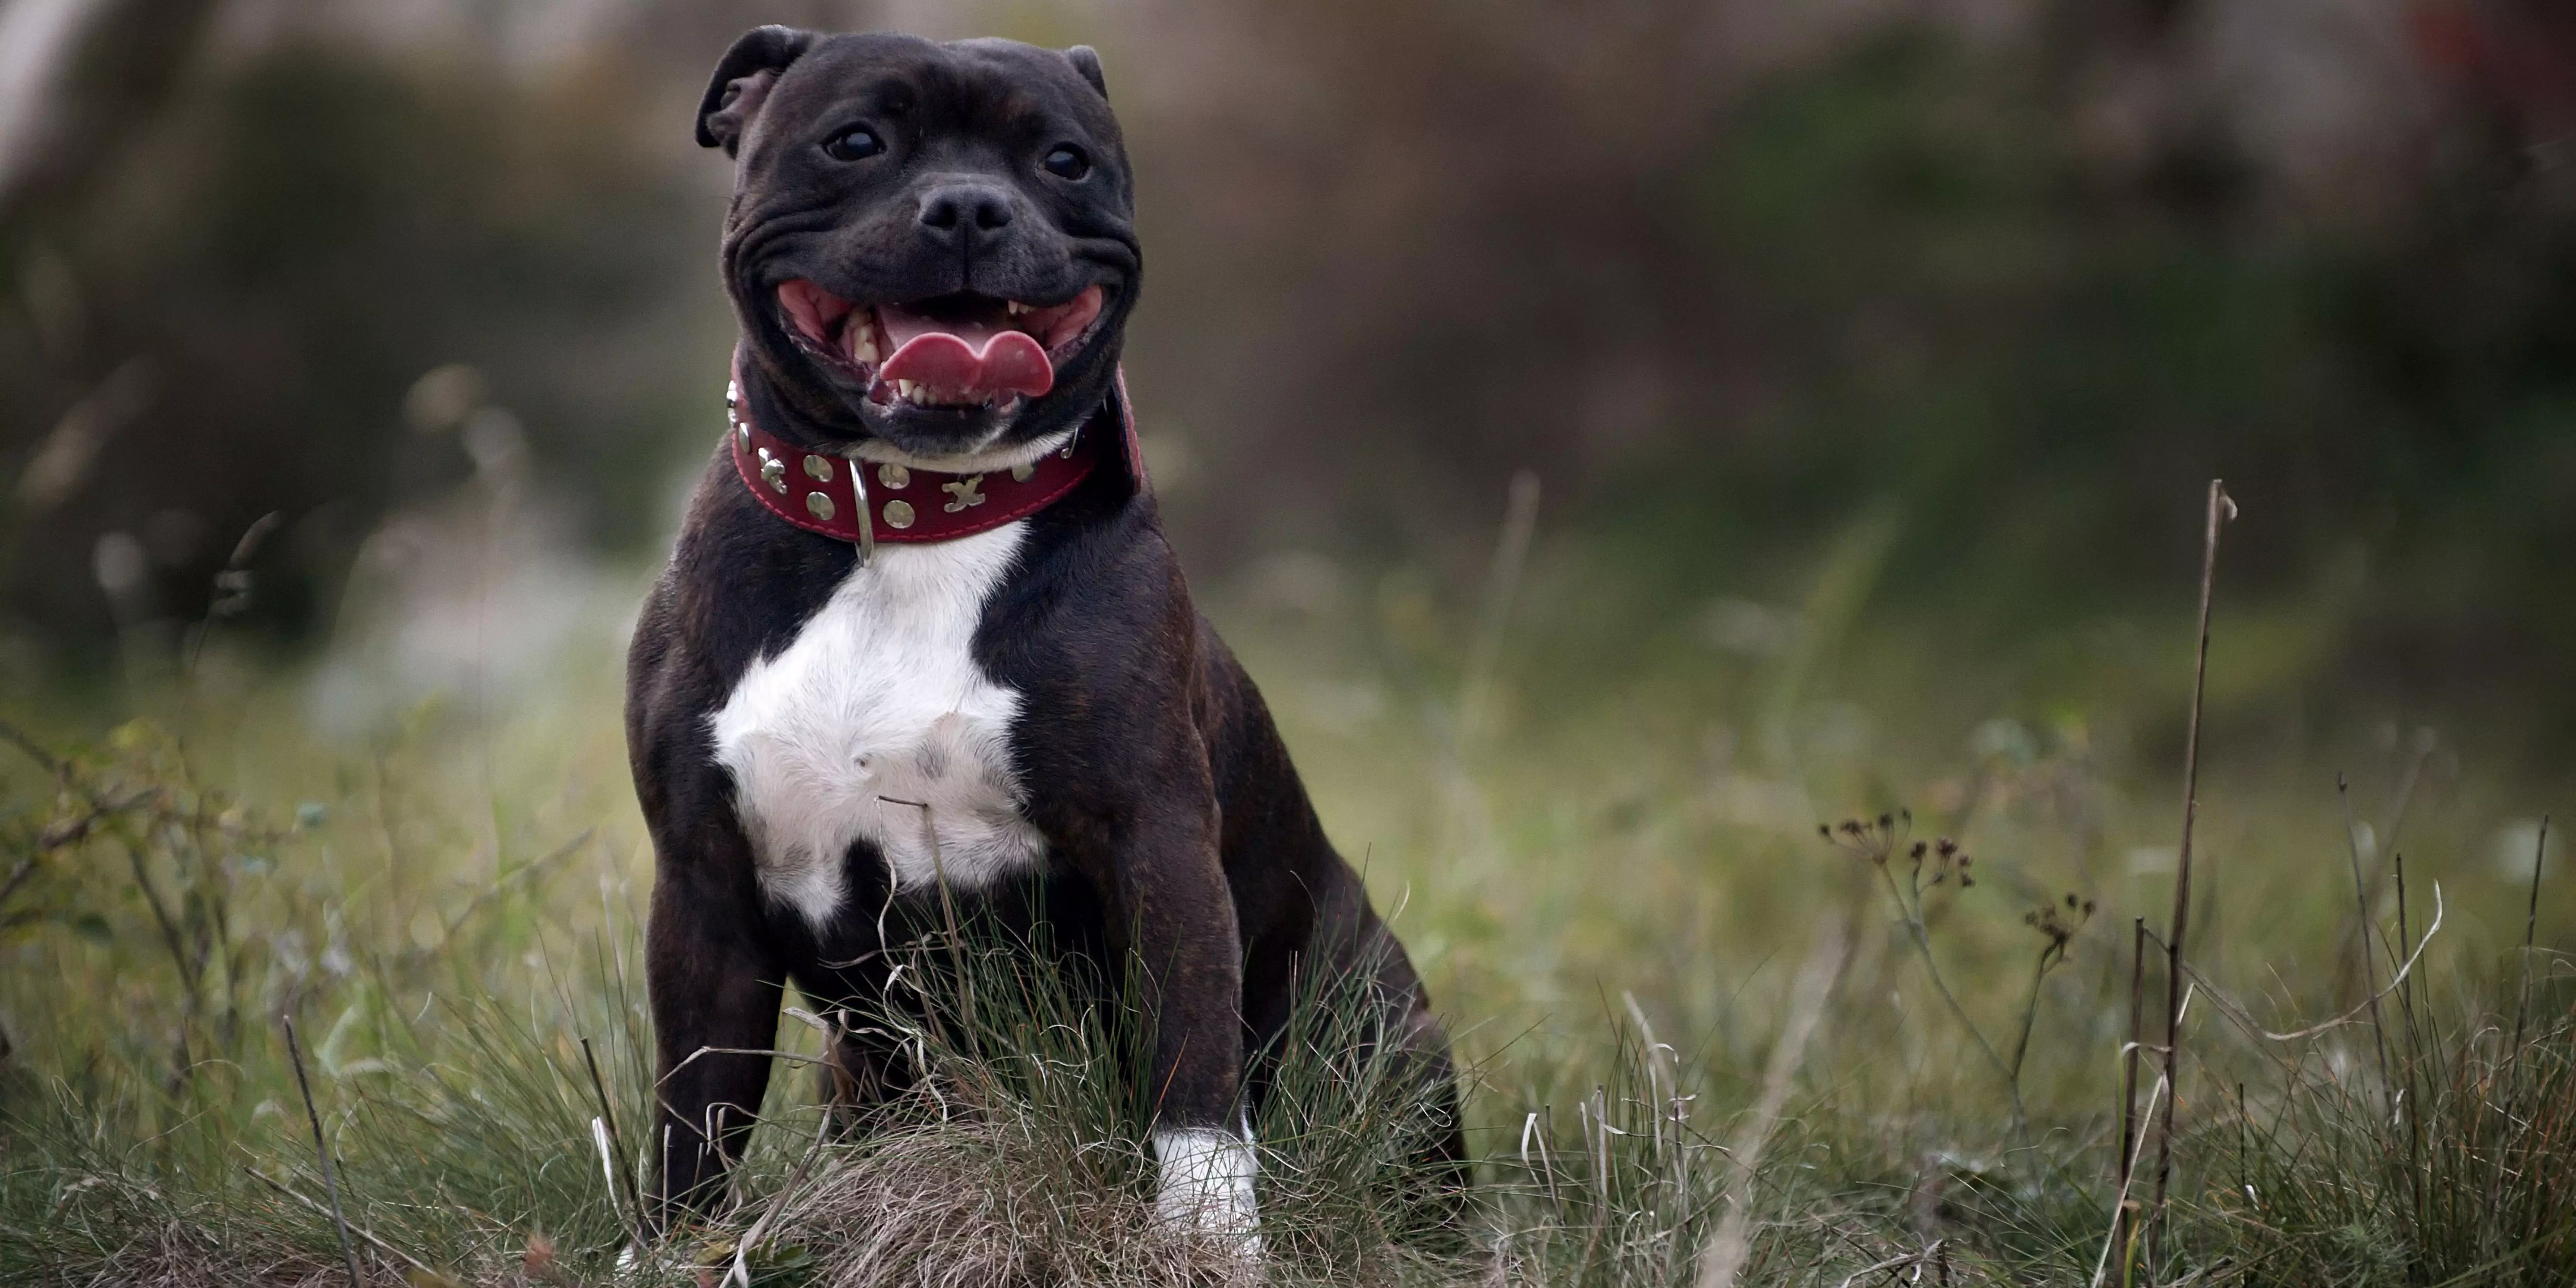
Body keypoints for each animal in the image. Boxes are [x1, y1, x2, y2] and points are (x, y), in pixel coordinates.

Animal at [623, 22, 1463, 1247]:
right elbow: (694, 1113)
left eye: (1063, 162)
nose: (972, 207)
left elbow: (1191, 1074)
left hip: (1372, 1018)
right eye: (855, 141)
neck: (906, 522)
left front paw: (1205, 1238)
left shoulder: (1156, 844)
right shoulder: (702, 886)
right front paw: (679, 1247)